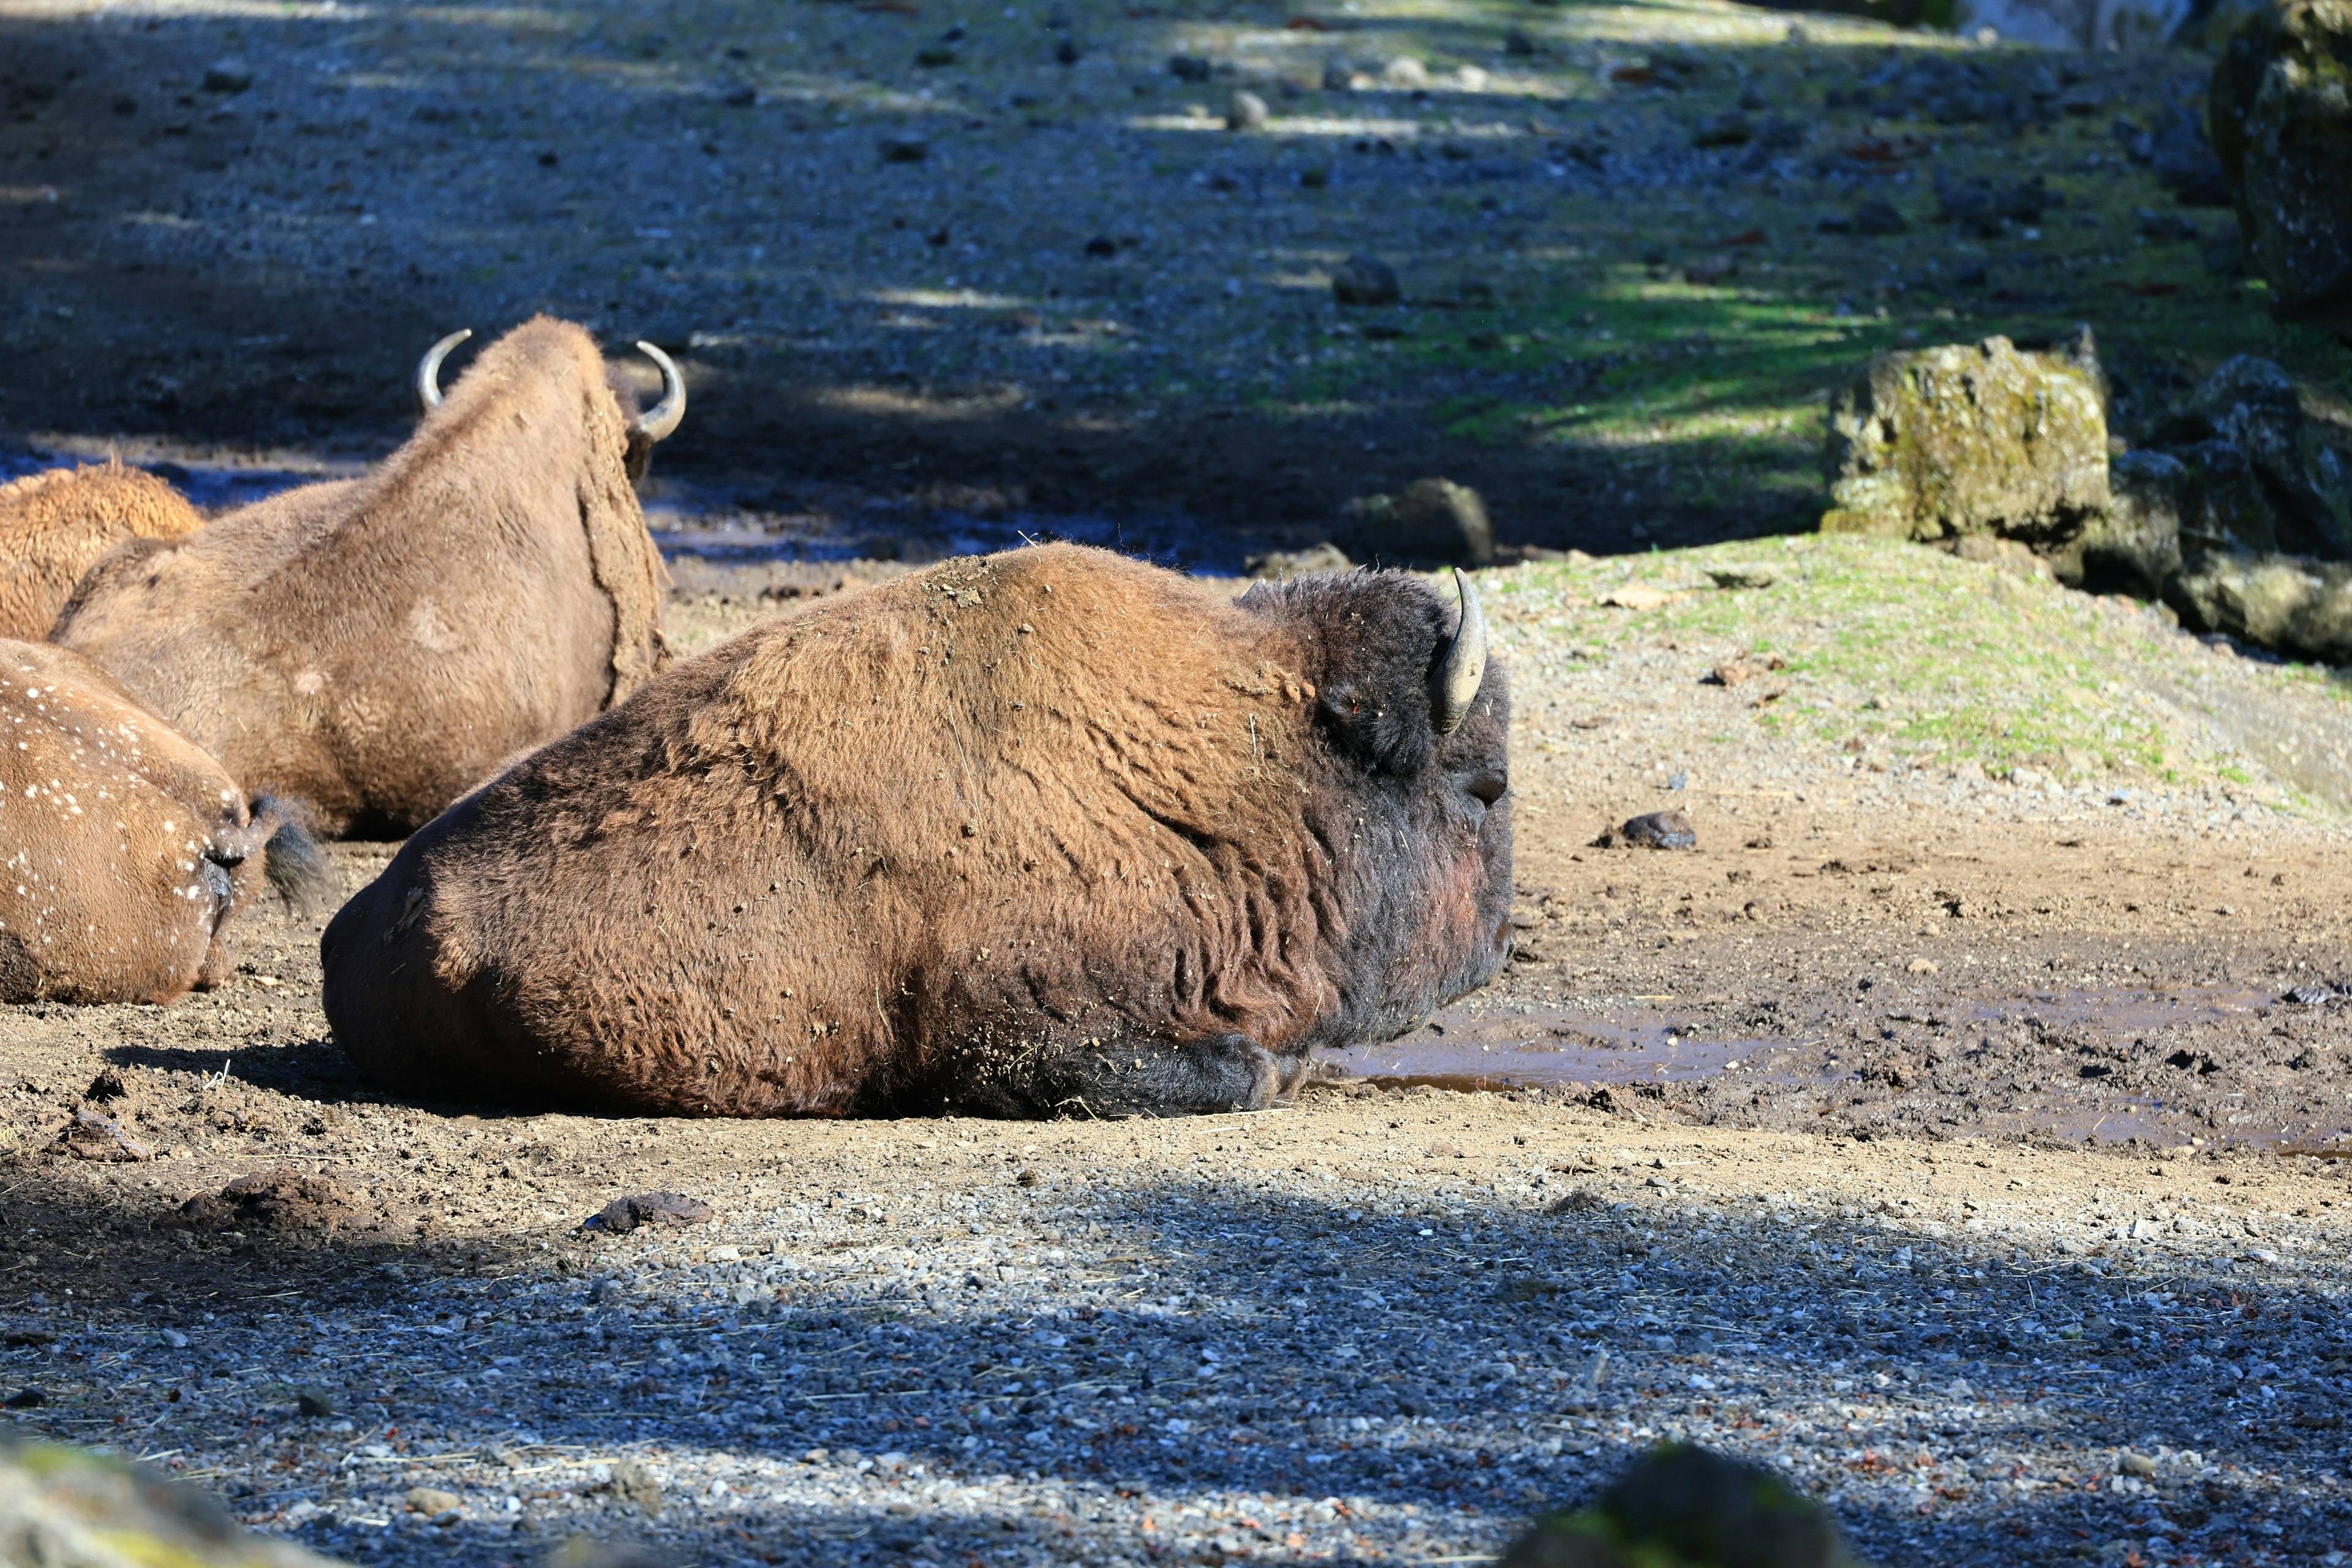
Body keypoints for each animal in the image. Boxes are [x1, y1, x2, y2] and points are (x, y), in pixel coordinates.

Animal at [322, 545, 1514, 1123]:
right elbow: (1248, 1074)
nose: (1499, 948)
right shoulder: (1021, 1040)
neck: (1248, 764)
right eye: (1488, 788)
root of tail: (355, 929)